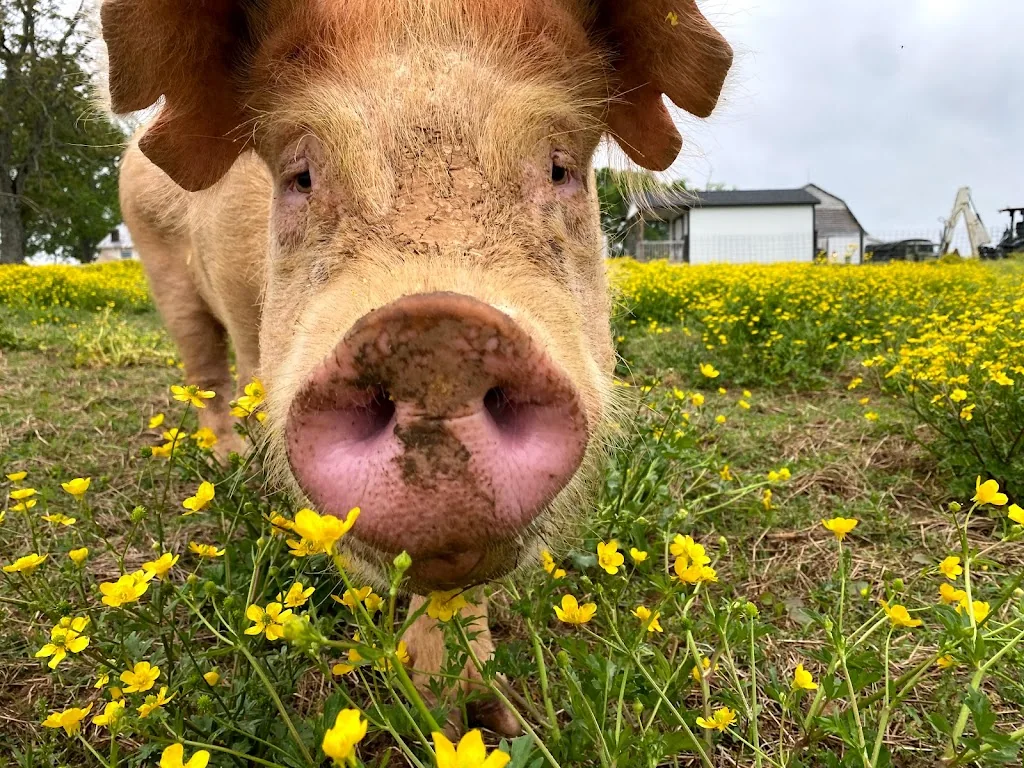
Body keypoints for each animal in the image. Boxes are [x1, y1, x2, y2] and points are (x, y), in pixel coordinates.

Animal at [104, 0, 731, 735]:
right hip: (164, 271)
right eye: (301, 177)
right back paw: (228, 467)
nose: (436, 334)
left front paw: (484, 722)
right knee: (209, 374)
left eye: (559, 169)